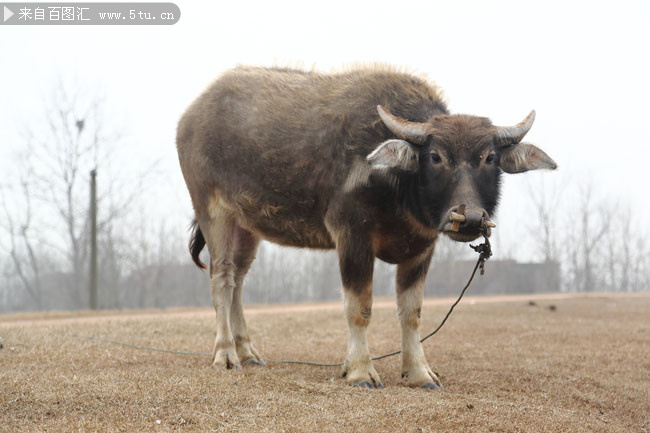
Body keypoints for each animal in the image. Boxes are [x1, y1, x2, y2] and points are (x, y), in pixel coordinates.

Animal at [177, 66, 556, 390]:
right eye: (435, 156)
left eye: (489, 158)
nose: (471, 218)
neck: (398, 185)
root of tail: (190, 117)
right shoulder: (352, 237)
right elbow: (359, 308)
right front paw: (360, 371)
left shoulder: (422, 248)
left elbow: (411, 313)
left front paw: (419, 373)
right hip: (213, 211)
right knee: (221, 278)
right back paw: (226, 354)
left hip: (247, 225)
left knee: (238, 280)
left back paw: (248, 352)